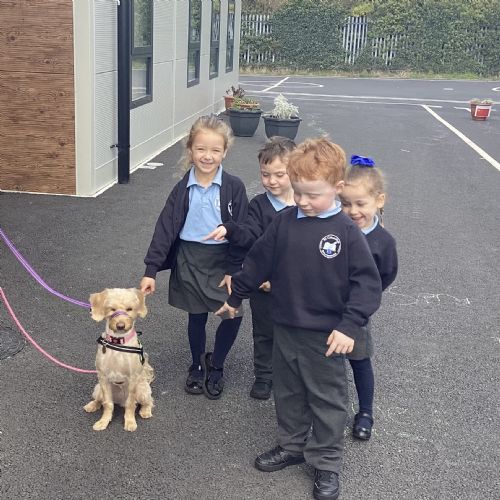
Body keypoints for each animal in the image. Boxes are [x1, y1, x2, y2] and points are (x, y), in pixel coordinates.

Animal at [84, 288, 154, 431]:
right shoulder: (103, 378)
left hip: (143, 389)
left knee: (148, 401)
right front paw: (103, 421)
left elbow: (131, 404)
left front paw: (130, 422)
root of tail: (120, 402)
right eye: (112, 309)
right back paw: (92, 405)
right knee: (100, 400)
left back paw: (145, 411)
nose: (120, 325)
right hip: (98, 389)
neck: (118, 343)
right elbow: (107, 404)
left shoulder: (133, 378)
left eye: (129, 309)